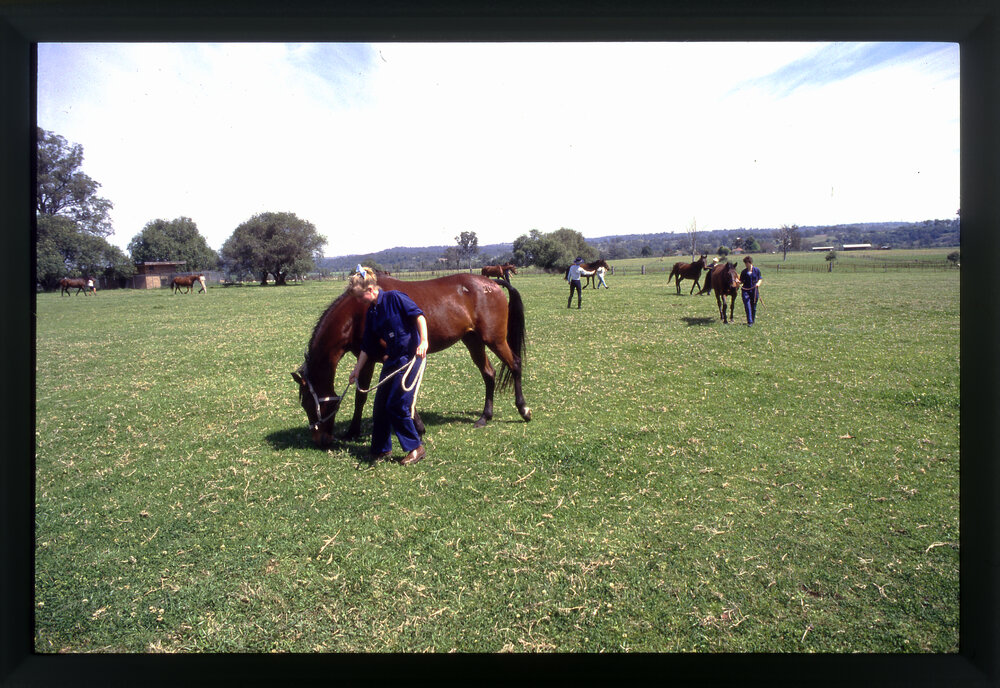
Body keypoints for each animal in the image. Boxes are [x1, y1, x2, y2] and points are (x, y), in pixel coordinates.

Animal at [292, 272, 531, 448]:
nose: (319, 439)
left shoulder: (391, 356)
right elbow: (361, 396)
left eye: (308, 404)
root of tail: (491, 282)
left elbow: (399, 385)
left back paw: (523, 410)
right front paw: (352, 431)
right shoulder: (367, 358)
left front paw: (418, 427)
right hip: (473, 341)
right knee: (489, 374)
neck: (358, 312)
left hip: (495, 339)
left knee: (515, 365)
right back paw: (484, 417)